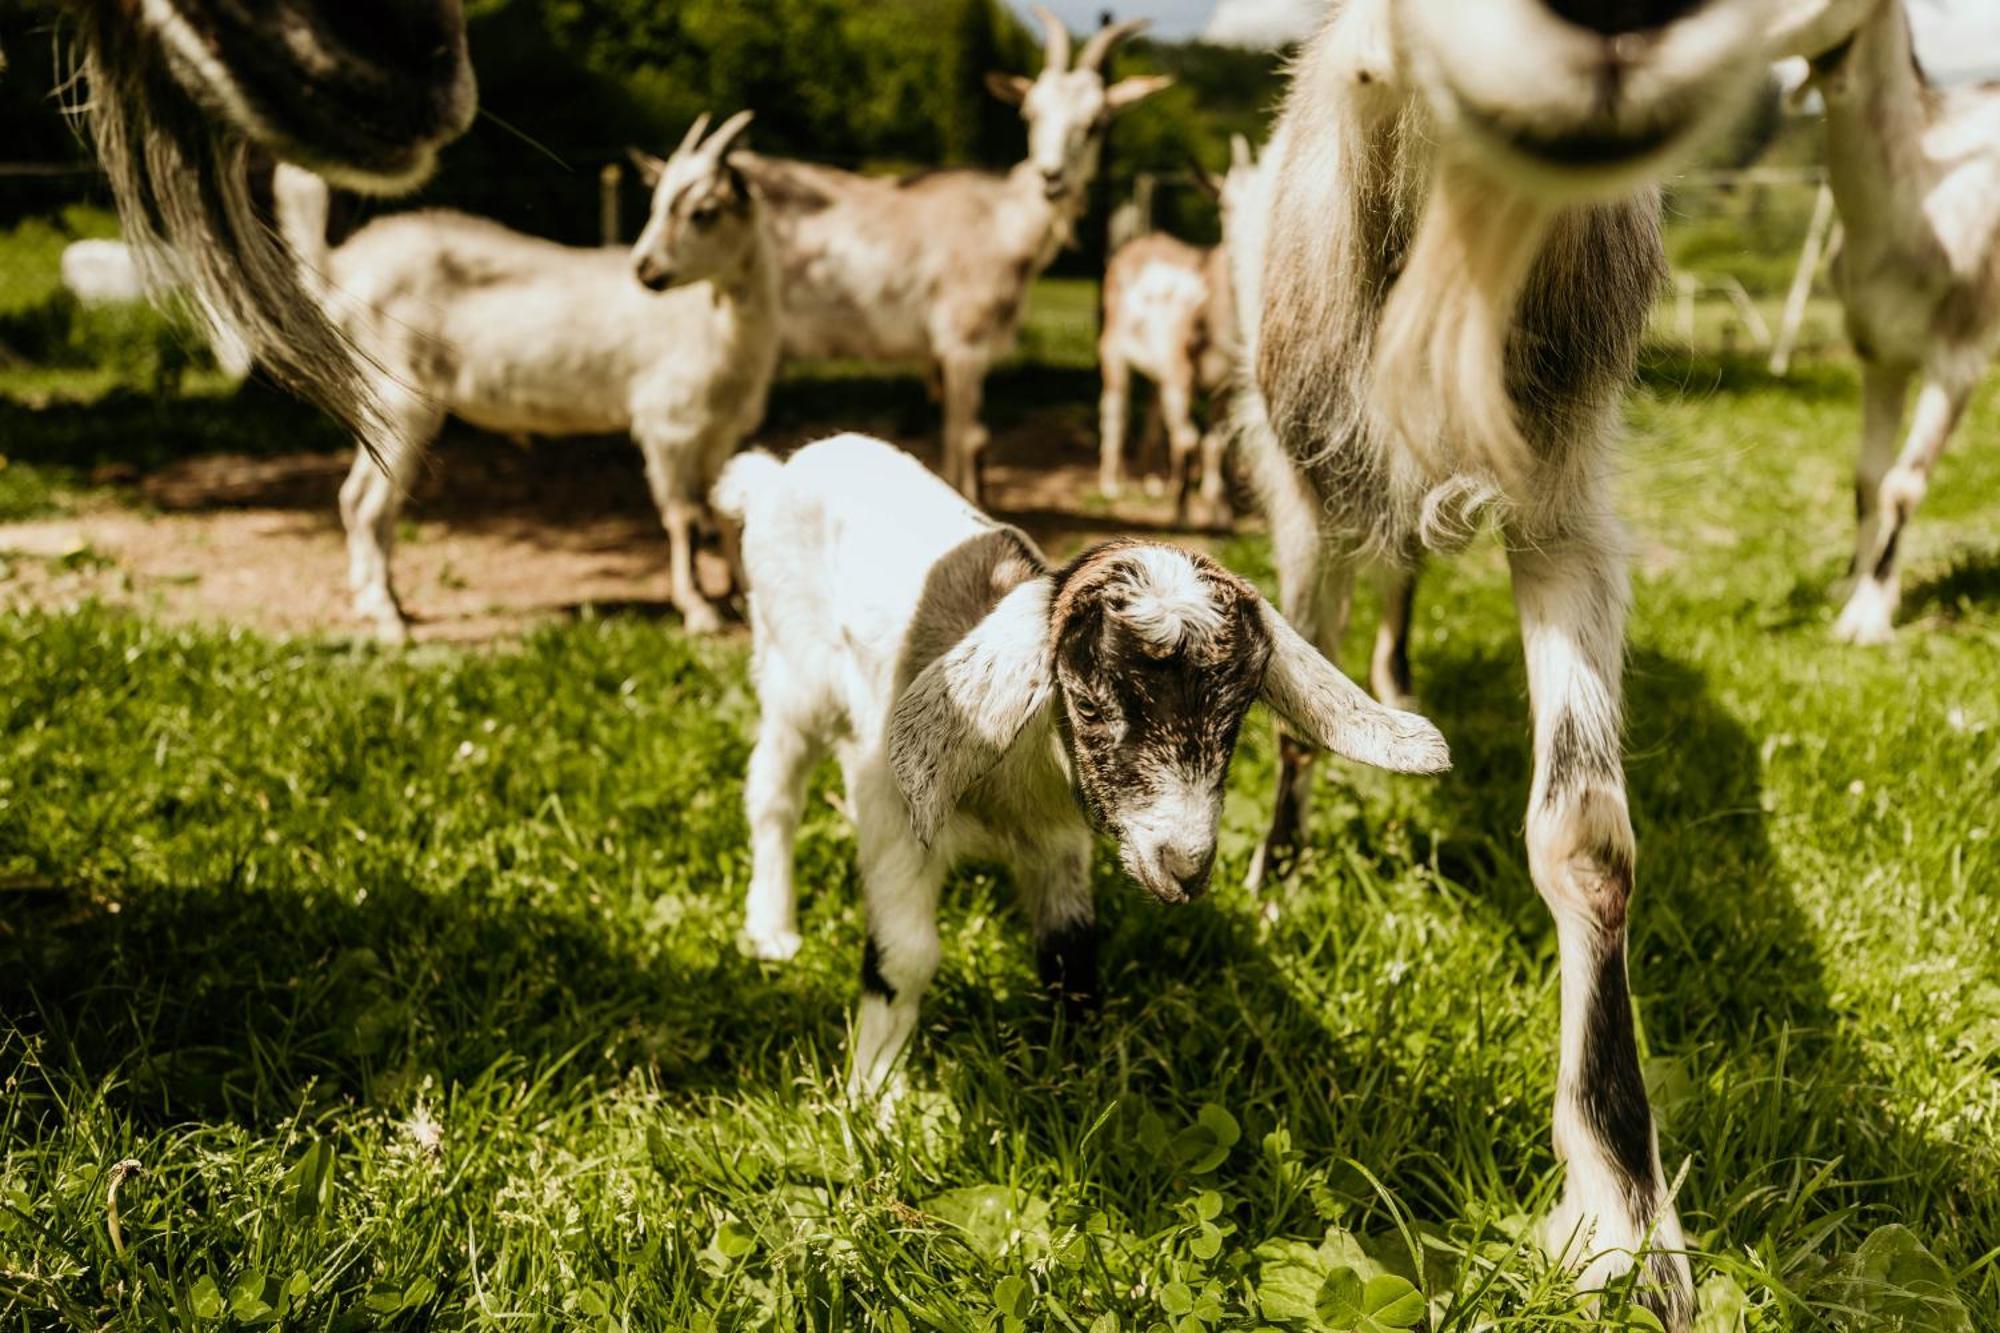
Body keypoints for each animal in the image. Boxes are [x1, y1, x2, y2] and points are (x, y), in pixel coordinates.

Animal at [286, 109, 776, 640]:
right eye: (657, 202)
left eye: (703, 211)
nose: (645, 271)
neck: (713, 323)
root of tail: (342, 270)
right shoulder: (667, 425)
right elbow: (684, 516)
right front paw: (701, 610)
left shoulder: (721, 430)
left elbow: (726, 513)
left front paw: (743, 595)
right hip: (400, 398)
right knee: (370, 503)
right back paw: (386, 616)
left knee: (359, 497)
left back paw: (382, 601)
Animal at [736, 6, 1168, 498]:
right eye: (1030, 112)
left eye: (1098, 122)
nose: (1051, 177)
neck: (1001, 223)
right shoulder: (963, 342)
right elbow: (966, 438)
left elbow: (956, 439)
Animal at [1776, 0, 1992, 644]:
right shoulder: (1879, 353)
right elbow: (1868, 477)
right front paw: (1850, 583)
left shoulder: (1957, 360)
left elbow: (1901, 485)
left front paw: (1867, 616)